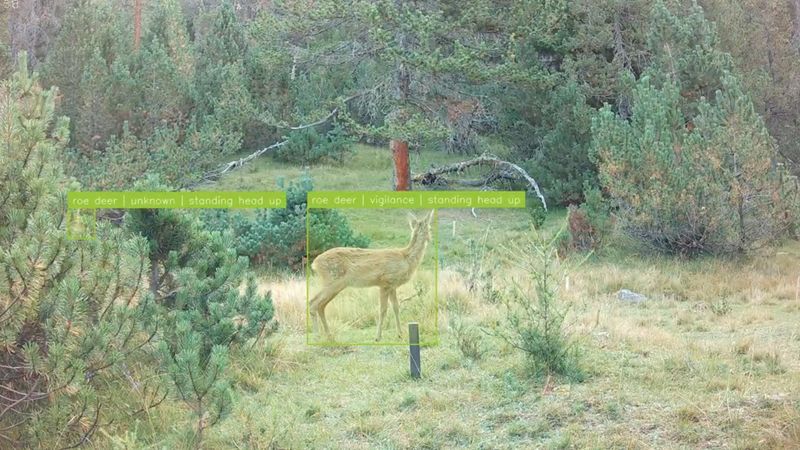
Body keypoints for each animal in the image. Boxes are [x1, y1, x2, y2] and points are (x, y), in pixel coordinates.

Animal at [309, 210, 434, 341]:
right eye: (430, 227)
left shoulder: (392, 286)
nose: (431, 238)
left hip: (336, 284)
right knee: (313, 302)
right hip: (332, 280)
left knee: (321, 306)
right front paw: (378, 337)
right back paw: (317, 337)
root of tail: (314, 263)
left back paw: (329, 336)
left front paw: (400, 334)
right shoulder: (385, 282)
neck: (406, 258)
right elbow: (382, 309)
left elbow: (396, 307)